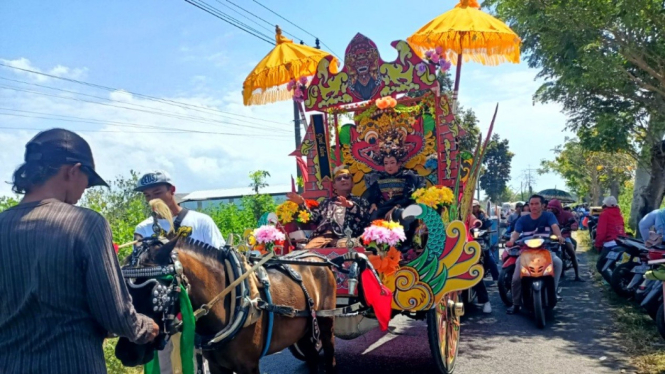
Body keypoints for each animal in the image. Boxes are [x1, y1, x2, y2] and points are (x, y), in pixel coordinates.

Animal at [113, 200, 338, 372]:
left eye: (157, 294)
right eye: (125, 291)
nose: (126, 353)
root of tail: (317, 257)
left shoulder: (248, 366)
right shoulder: (216, 366)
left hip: (326, 322)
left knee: (329, 355)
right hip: (304, 331)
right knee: (312, 356)